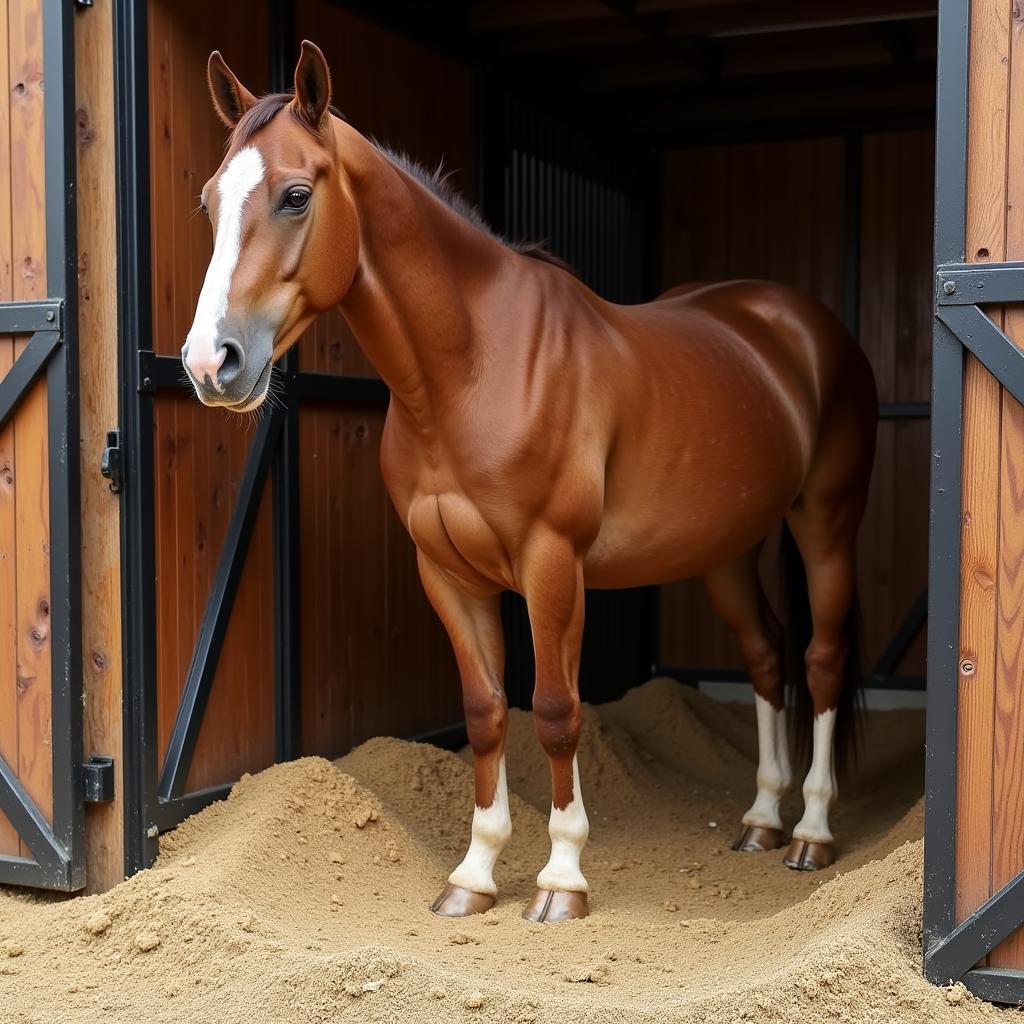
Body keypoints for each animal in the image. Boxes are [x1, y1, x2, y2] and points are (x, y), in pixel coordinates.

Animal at [180, 39, 876, 925]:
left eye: (297, 194)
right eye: (208, 203)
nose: (211, 364)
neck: (476, 364)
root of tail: (800, 327)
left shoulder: (552, 566)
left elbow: (552, 710)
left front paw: (561, 880)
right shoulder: (446, 573)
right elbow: (484, 714)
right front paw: (473, 875)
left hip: (826, 522)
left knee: (819, 660)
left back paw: (811, 832)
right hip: (727, 550)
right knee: (765, 656)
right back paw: (759, 819)